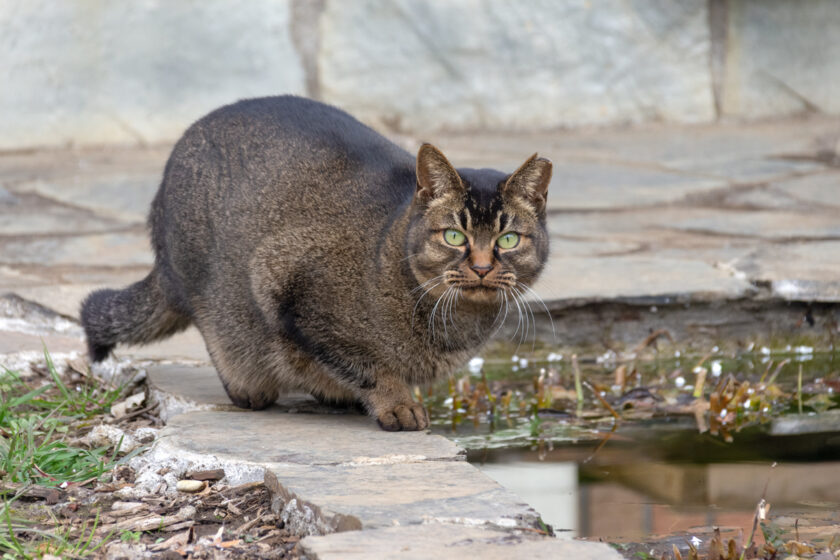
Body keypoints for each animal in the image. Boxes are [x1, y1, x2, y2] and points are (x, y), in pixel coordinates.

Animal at [80, 96, 552, 430]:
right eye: (454, 236)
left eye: (508, 239)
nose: (482, 267)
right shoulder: (284, 282)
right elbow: (370, 367)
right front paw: (397, 402)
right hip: (204, 279)